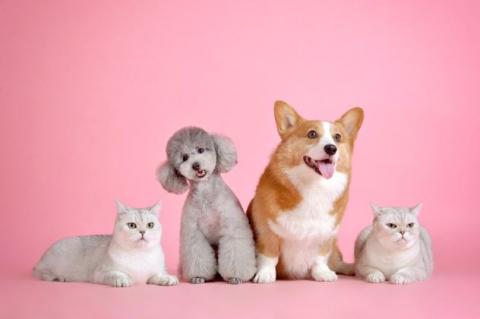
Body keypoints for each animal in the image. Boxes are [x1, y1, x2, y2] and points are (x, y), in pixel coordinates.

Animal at [32, 201, 178, 288]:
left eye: (150, 225)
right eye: (132, 225)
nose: (142, 232)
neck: (140, 254)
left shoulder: (153, 273)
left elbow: (157, 275)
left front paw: (167, 278)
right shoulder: (100, 273)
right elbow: (116, 274)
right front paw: (123, 280)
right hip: (52, 263)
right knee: (42, 273)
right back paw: (57, 277)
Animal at [248, 102, 364, 282]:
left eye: (337, 137)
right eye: (312, 134)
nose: (331, 148)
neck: (314, 186)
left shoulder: (327, 234)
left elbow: (320, 258)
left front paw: (322, 273)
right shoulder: (266, 231)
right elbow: (269, 255)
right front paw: (265, 274)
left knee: (337, 262)